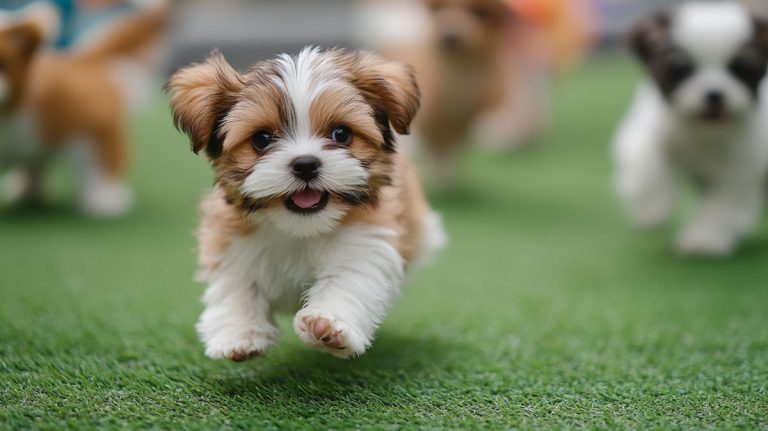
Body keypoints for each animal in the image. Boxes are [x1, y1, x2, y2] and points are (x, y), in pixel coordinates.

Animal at [0, 0, 167, 216]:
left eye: (2, 63)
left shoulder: (89, 123)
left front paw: (104, 199)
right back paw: (27, 190)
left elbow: (99, 162)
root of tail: (84, 60)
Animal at [166, 46, 444, 362]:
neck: (299, 229)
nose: (306, 164)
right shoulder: (231, 243)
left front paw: (328, 323)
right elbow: (237, 287)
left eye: (341, 134)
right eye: (262, 139)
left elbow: (348, 280)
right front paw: (240, 334)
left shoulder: (364, 242)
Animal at [612, 1, 768, 255]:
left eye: (740, 68)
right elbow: (648, 161)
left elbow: (723, 201)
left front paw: (704, 238)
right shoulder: (647, 129)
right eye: (682, 68)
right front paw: (653, 206)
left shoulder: (741, 163)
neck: (701, 132)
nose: (714, 94)